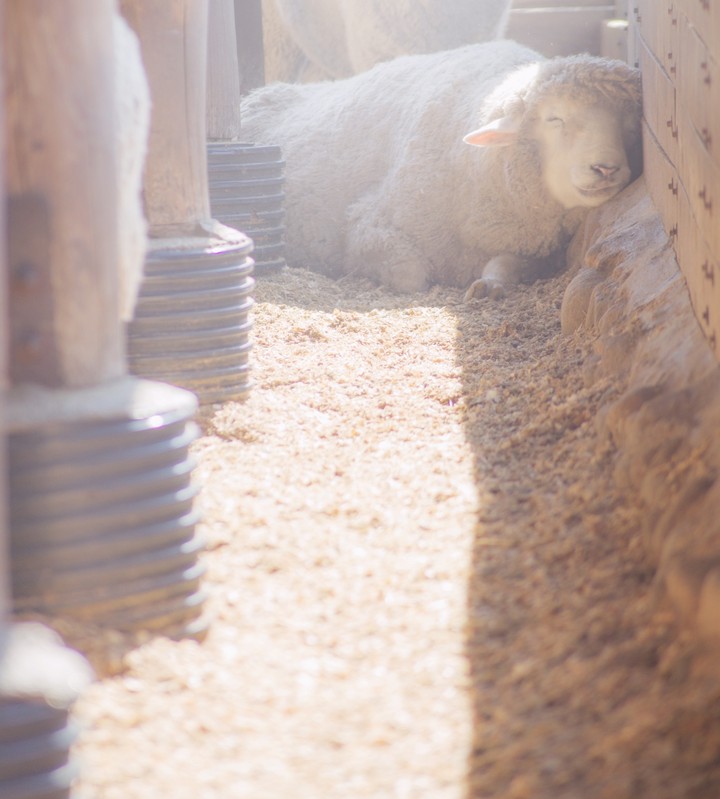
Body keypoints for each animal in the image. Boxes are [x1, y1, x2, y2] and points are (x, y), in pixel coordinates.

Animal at [240, 41, 642, 297]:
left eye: (628, 125)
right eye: (554, 118)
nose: (607, 168)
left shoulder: (537, 250)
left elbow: (507, 264)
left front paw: (490, 285)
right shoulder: (369, 226)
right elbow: (410, 275)